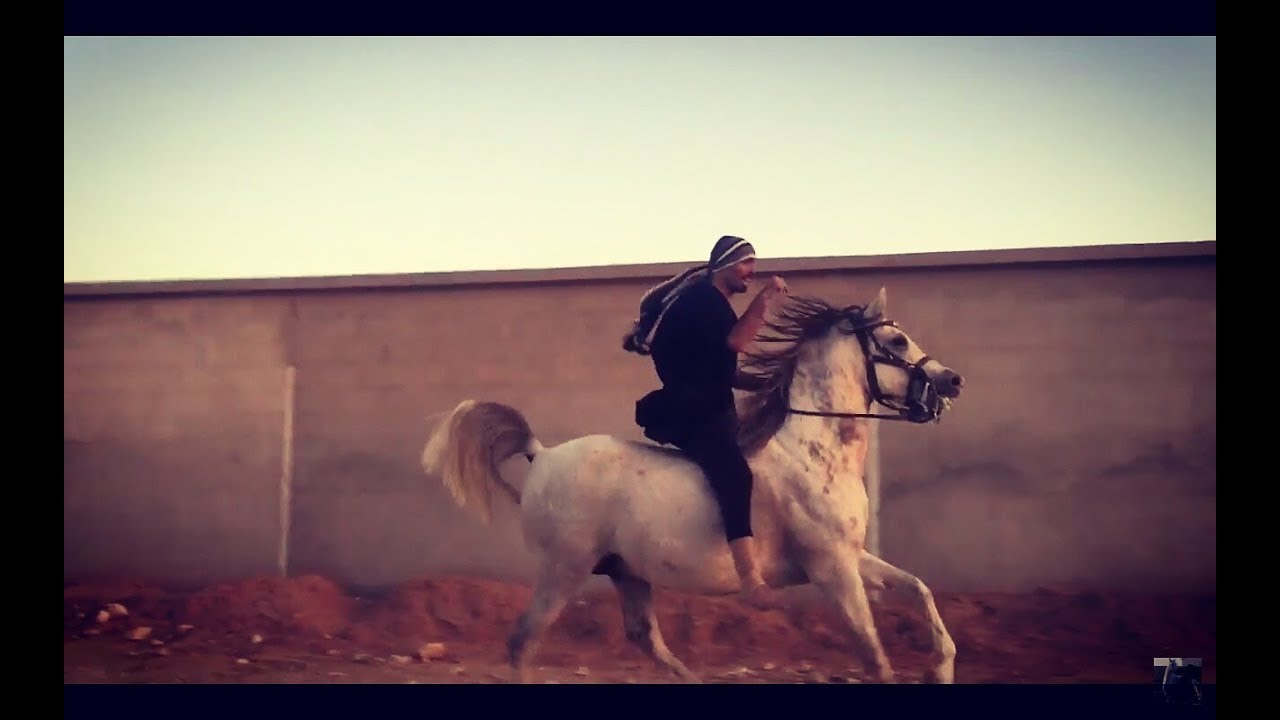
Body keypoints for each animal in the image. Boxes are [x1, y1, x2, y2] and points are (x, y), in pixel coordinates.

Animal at [420, 286, 965, 684]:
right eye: (897, 342)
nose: (952, 381)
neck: (814, 449)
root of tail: (543, 453)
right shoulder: (832, 570)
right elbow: (874, 655)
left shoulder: (852, 559)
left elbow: (919, 589)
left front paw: (941, 667)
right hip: (564, 570)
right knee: (523, 642)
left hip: (626, 571)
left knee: (644, 637)